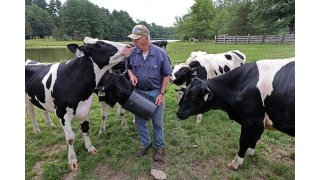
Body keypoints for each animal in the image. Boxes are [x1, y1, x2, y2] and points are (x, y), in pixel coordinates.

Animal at [25, 37, 127, 170]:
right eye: (99, 44)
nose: (128, 46)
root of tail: (29, 60)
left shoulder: (85, 109)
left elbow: (86, 130)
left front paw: (90, 148)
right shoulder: (62, 114)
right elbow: (70, 138)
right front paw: (72, 160)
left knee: (44, 110)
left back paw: (50, 124)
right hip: (27, 98)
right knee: (32, 113)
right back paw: (37, 130)